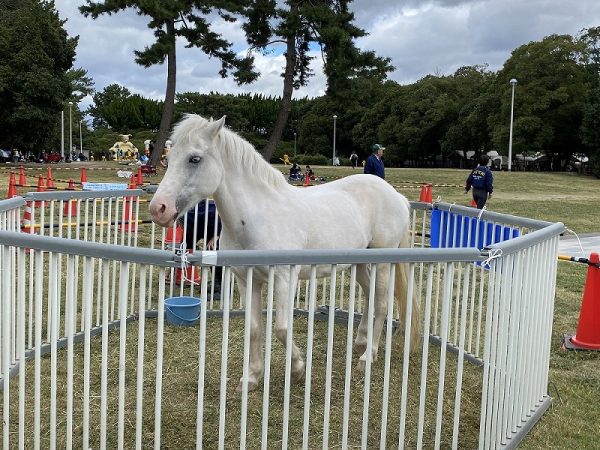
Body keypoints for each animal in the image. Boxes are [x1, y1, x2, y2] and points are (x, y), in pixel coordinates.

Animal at [150, 115, 422, 390]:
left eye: (195, 158)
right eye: (169, 158)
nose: (158, 208)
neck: (257, 217)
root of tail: (396, 195)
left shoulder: (284, 278)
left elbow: (281, 328)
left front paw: (298, 368)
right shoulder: (246, 280)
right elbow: (254, 327)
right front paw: (251, 378)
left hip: (382, 263)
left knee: (382, 304)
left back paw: (368, 356)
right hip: (361, 264)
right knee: (370, 296)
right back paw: (360, 343)